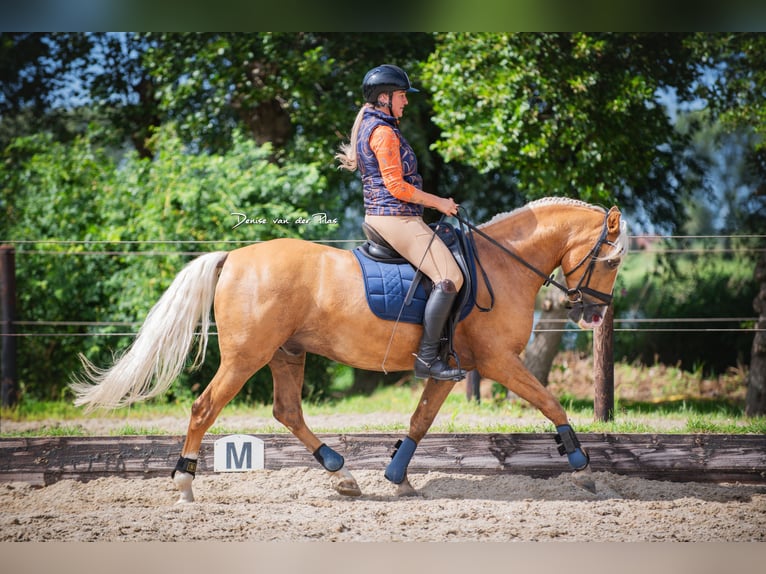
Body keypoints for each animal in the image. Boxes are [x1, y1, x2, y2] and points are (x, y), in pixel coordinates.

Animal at [73, 198, 632, 504]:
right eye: (611, 261)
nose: (594, 313)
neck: (500, 265)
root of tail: (234, 257)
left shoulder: (448, 368)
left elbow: (420, 421)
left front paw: (397, 478)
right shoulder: (499, 362)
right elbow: (551, 402)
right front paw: (582, 467)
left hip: (286, 354)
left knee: (287, 410)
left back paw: (341, 472)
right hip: (245, 358)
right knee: (204, 408)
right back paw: (186, 486)